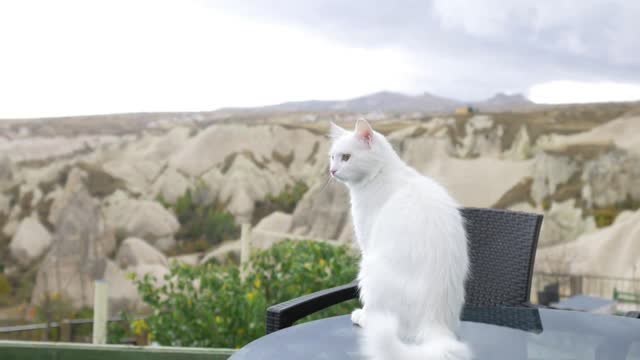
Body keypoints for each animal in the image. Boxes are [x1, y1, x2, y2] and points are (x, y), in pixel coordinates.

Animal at [330, 119, 470, 358]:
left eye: (346, 157)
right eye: (332, 157)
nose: (332, 170)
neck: (381, 172)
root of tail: (435, 321)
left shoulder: (367, 243)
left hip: (369, 269)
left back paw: (365, 318)